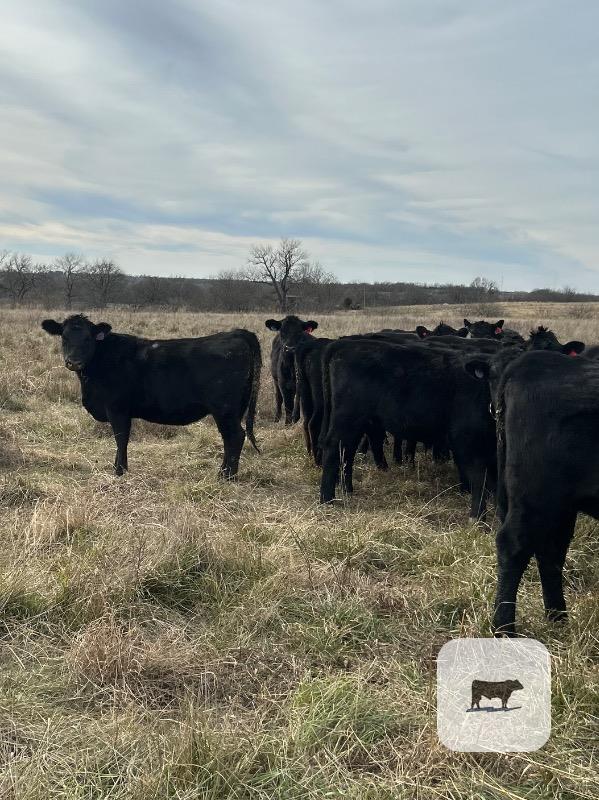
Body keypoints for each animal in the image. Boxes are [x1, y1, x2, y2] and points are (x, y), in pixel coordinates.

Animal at [41, 315, 261, 478]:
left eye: (88, 338)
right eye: (64, 337)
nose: (73, 362)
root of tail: (236, 333)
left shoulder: (117, 408)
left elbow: (121, 438)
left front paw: (119, 471)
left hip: (224, 408)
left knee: (235, 436)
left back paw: (226, 476)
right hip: (234, 409)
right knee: (229, 439)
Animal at [319, 338, 497, 519]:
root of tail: (345, 344)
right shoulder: (468, 438)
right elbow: (479, 477)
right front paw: (478, 513)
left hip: (358, 422)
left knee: (347, 451)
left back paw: (347, 490)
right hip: (347, 418)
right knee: (334, 449)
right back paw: (327, 500)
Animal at [465, 349, 599, 635]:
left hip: (560, 504)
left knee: (551, 549)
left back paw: (558, 618)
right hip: (538, 497)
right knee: (514, 544)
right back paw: (504, 628)